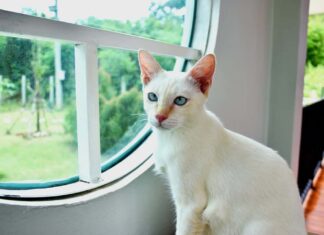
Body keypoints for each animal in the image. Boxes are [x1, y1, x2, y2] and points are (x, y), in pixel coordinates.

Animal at [137, 50, 306, 235]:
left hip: (256, 229)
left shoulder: (190, 205)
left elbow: (183, 230)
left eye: (180, 101)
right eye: (152, 97)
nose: (160, 117)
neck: (170, 138)